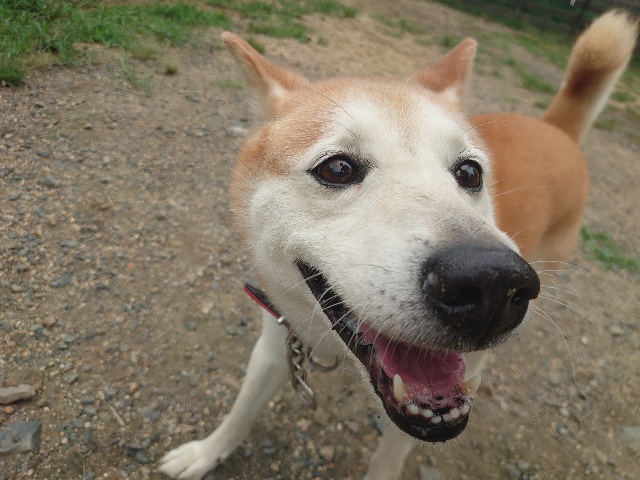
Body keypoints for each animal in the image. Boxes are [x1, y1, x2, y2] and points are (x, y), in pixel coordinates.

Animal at [159, 11, 637, 480]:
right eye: (337, 168)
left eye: (469, 172)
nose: (493, 284)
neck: (330, 345)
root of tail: (556, 128)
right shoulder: (277, 342)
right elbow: (240, 412)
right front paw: (205, 453)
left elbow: (391, 454)